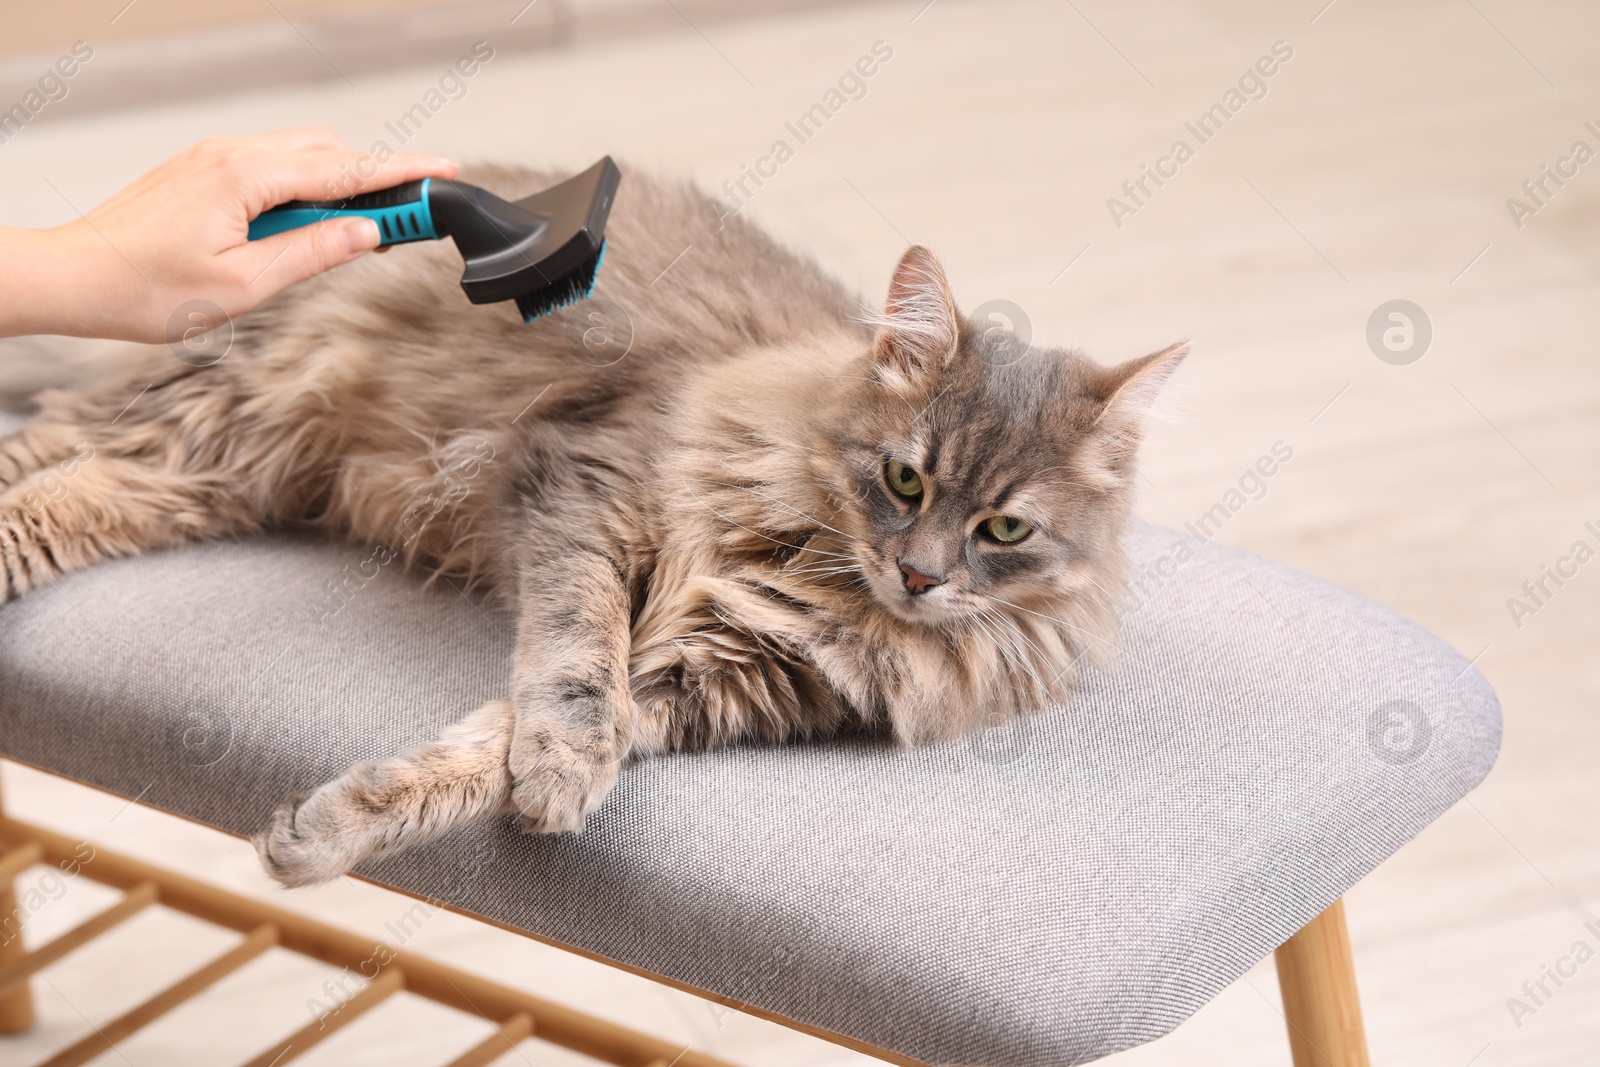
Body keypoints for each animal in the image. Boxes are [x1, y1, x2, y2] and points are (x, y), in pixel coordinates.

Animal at [0, 164, 1184, 883]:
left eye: (1003, 532)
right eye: (903, 480)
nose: (923, 578)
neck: (820, 574)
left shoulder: (718, 680)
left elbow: (489, 747)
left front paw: (333, 828)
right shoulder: (588, 488)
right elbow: (575, 658)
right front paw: (563, 762)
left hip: (213, 473)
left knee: (72, 488)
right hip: (225, 405)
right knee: (40, 456)